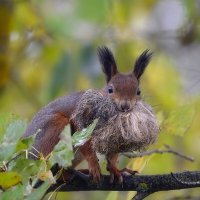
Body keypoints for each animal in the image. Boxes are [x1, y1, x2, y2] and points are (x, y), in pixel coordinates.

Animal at [22, 46, 156, 184]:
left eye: (138, 92)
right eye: (110, 90)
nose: (125, 106)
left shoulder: (116, 138)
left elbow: (113, 155)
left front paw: (115, 170)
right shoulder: (82, 120)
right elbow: (85, 144)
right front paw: (94, 165)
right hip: (51, 130)